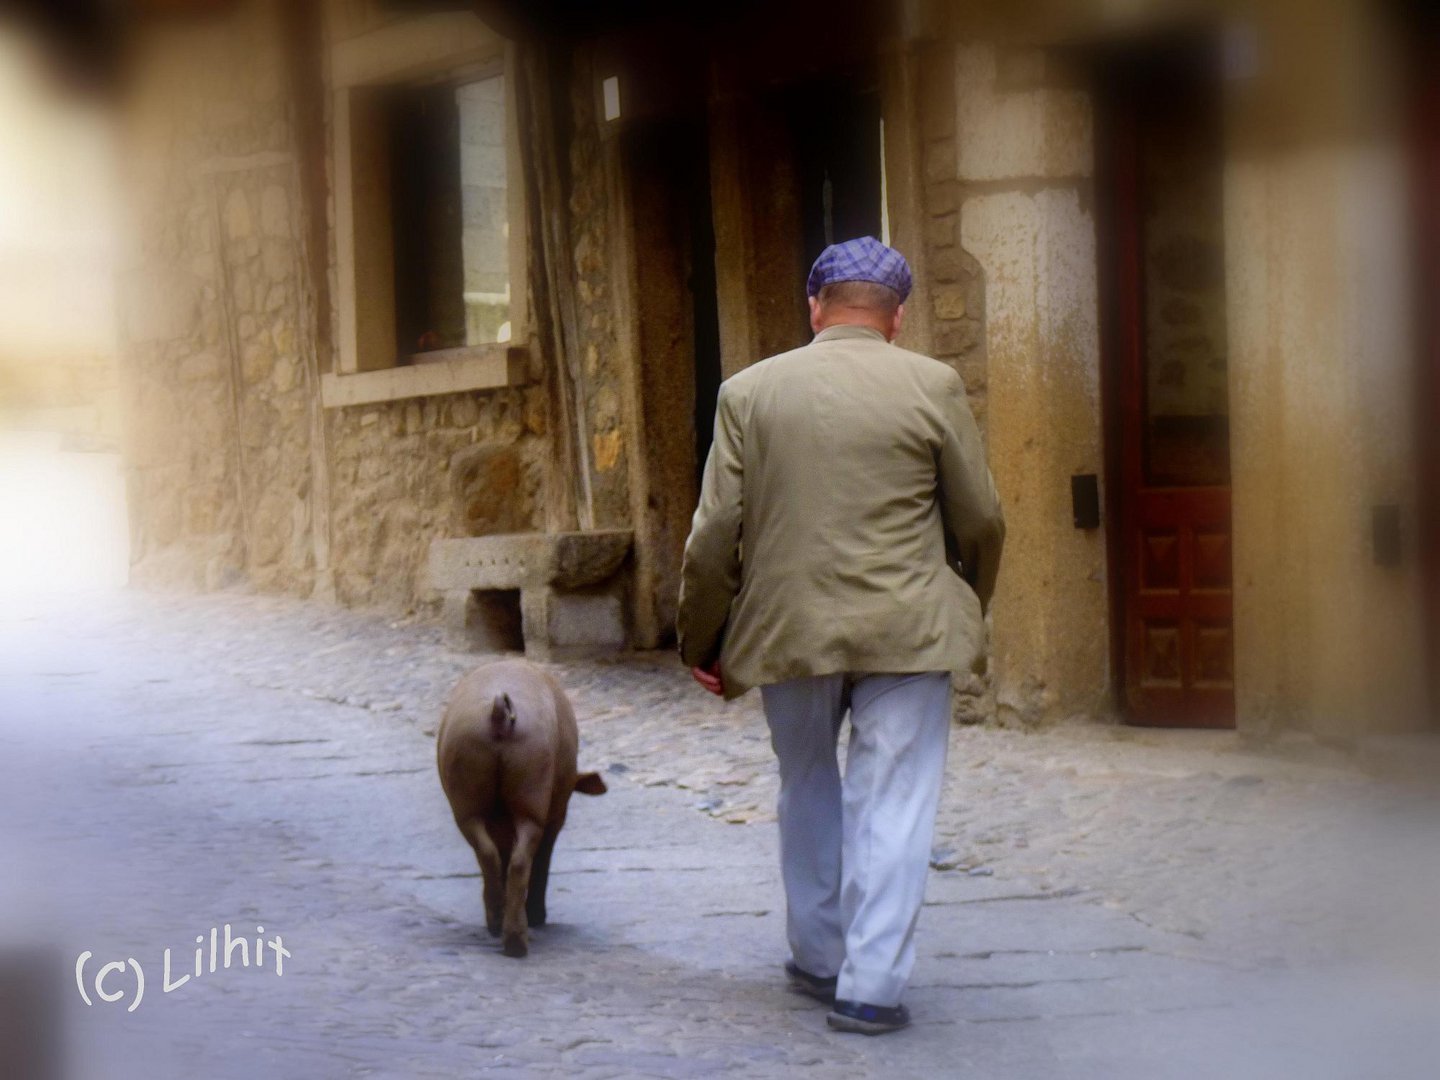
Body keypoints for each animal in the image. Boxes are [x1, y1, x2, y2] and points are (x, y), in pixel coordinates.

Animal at [432, 659, 601, 956]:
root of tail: (499, 715)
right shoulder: (556, 813)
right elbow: (543, 856)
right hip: (532, 786)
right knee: (523, 860)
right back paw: (520, 935)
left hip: (468, 795)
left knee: (490, 855)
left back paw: (502, 930)